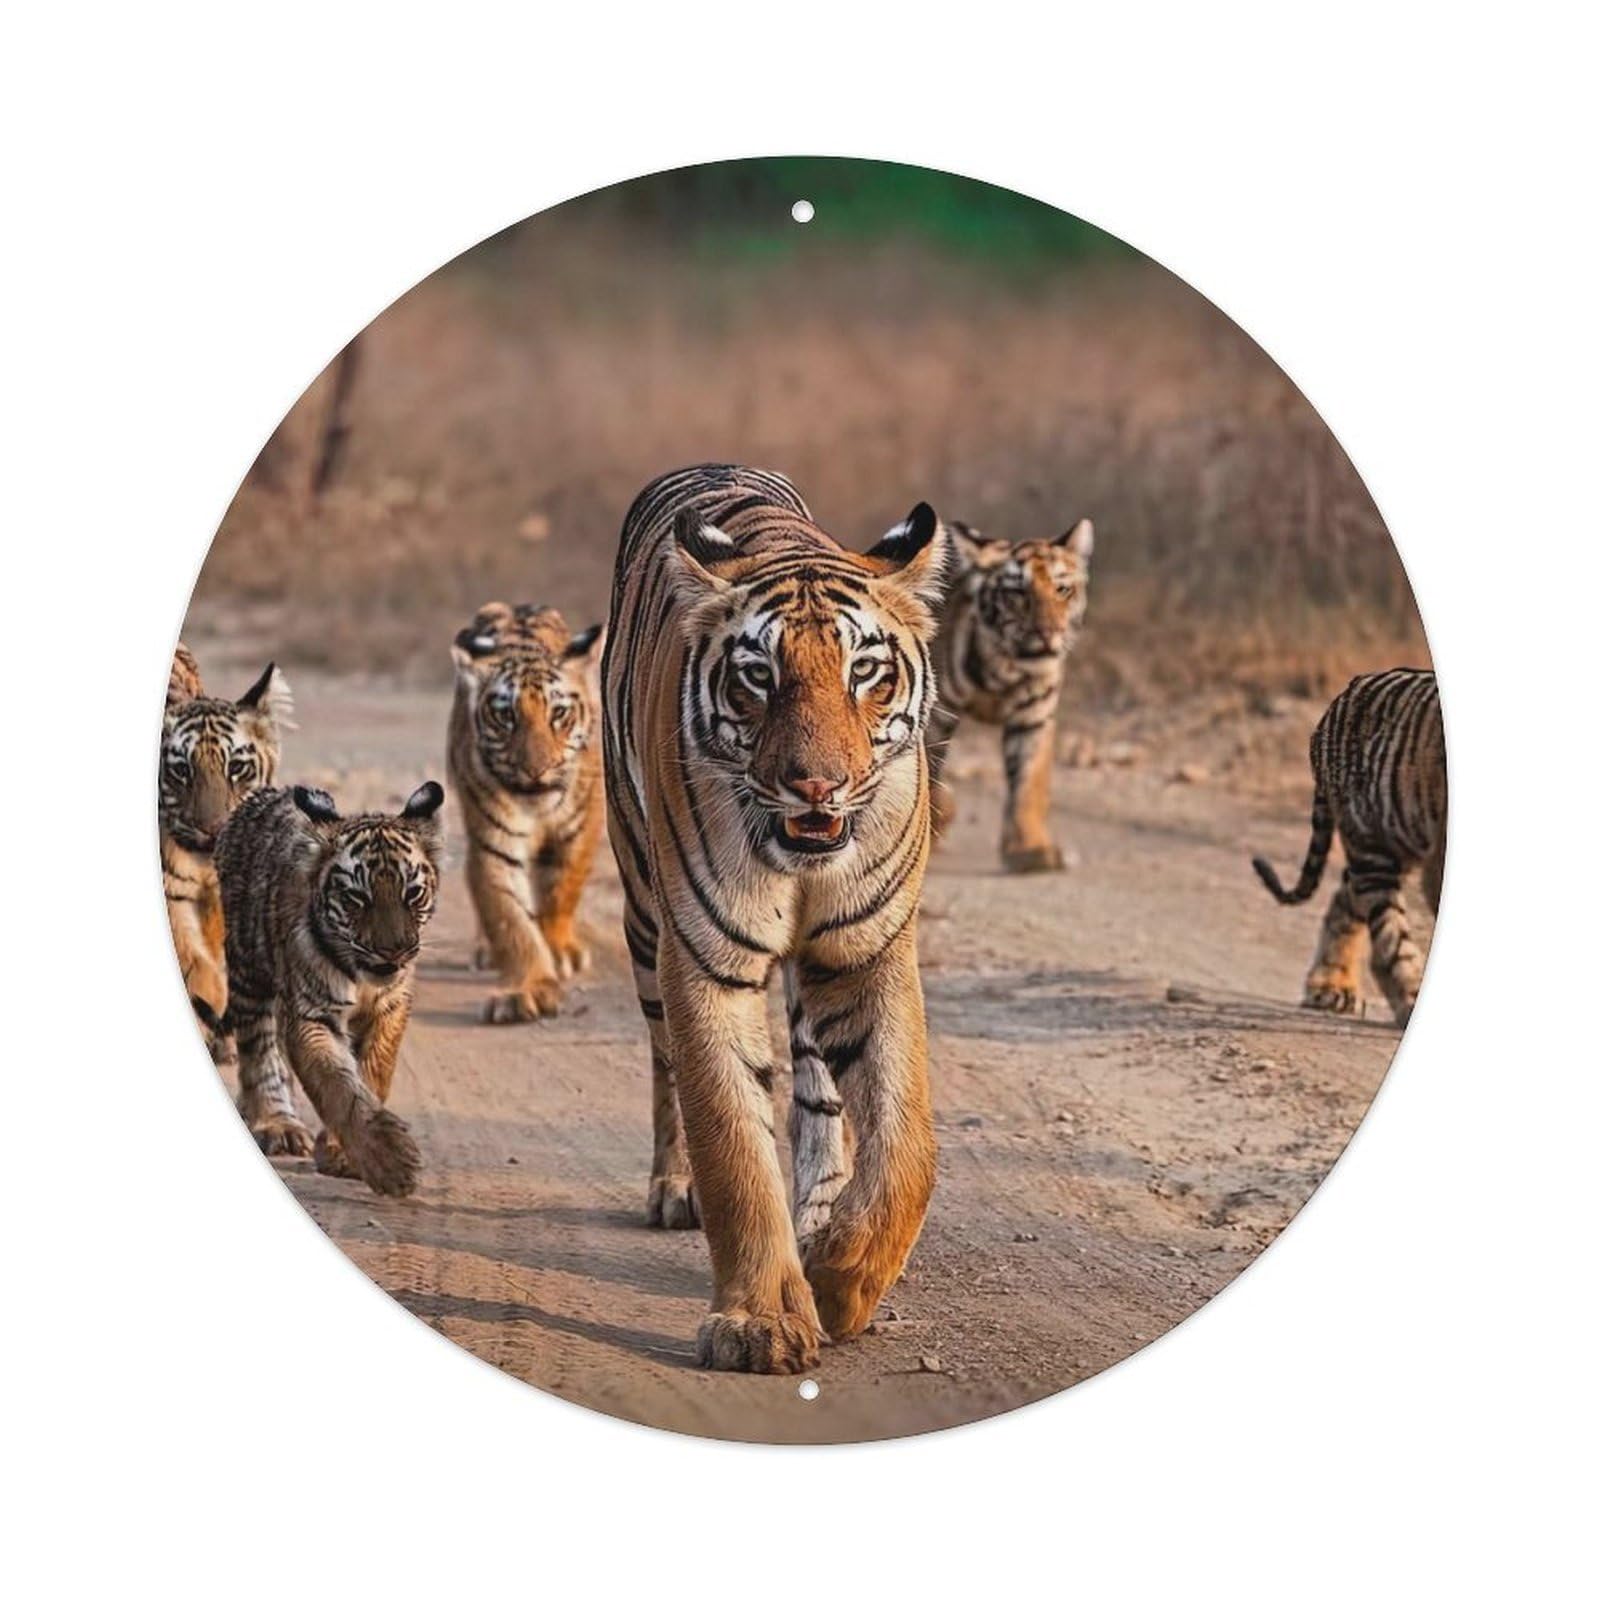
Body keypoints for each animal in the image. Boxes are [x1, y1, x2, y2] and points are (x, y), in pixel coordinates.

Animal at [159, 648, 293, 1061]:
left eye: (236, 767)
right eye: (181, 771)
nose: (213, 828)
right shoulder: (174, 896)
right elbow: (195, 957)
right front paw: (216, 1004)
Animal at [215, 781, 445, 1196]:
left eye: (412, 894)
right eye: (357, 898)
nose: (394, 950)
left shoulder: (391, 1006)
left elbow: (372, 1071)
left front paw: (343, 1155)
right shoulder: (311, 1013)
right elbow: (337, 1086)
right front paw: (390, 1163)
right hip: (249, 971)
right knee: (259, 1051)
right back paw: (276, 1124)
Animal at [446, 602, 605, 1023]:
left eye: (559, 713)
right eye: (506, 716)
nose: (536, 769)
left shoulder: (580, 829)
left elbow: (560, 890)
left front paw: (558, 951)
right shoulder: (492, 845)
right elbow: (509, 918)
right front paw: (526, 990)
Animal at [604, 463, 949, 1375]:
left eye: (865, 671)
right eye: (759, 675)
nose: (817, 785)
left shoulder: (868, 954)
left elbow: (905, 1146)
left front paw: (840, 1281)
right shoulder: (703, 960)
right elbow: (731, 1141)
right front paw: (760, 1323)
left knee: (820, 1094)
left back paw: (819, 1216)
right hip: (645, 915)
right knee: (667, 1067)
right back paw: (675, 1188)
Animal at [926, 517, 1095, 872]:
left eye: (1062, 589)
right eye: (1018, 592)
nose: (1048, 632)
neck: (1005, 665)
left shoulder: (1033, 718)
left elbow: (1029, 785)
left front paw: (1029, 850)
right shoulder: (933, 718)